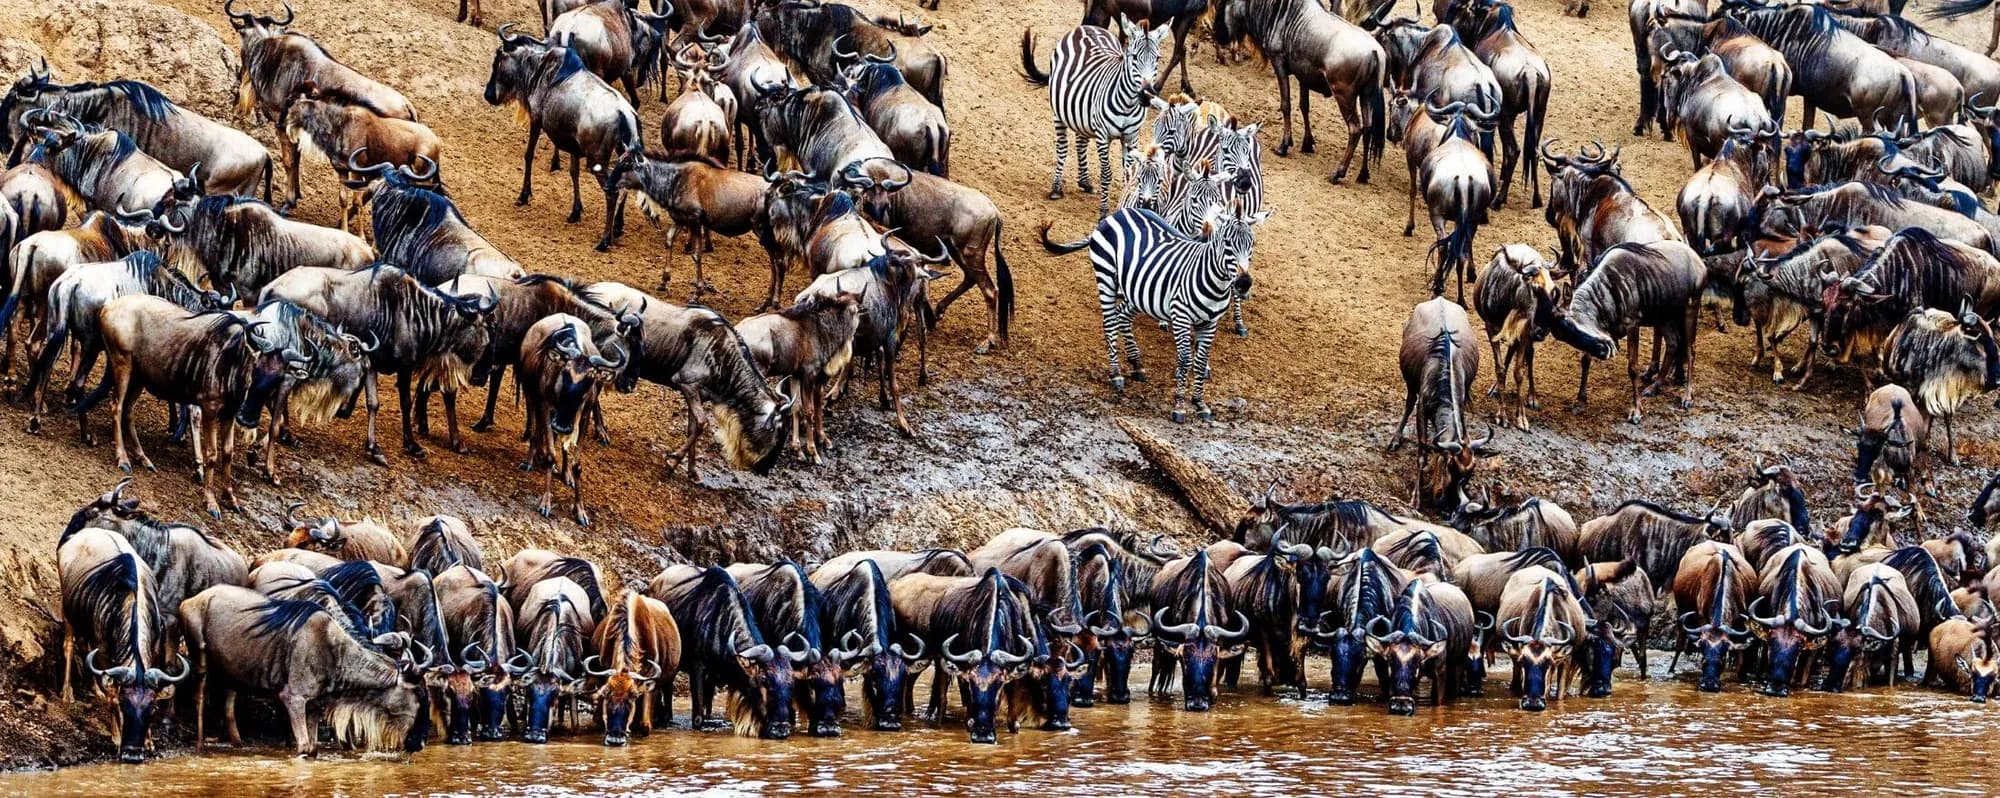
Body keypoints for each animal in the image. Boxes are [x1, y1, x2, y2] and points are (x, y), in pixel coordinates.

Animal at [1021, 18, 1170, 219]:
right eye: (1134, 57)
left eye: (1157, 59)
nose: (1146, 95)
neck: (1128, 104)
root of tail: (1087, 27)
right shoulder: (1102, 135)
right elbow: (1106, 174)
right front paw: (1104, 212)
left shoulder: (1131, 136)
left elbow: (1129, 174)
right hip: (1059, 113)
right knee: (1062, 148)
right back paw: (1056, 188)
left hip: (1081, 115)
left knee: (1080, 142)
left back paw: (1084, 182)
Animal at [1039, 206, 1273, 422]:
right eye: (1227, 243)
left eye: (1252, 244)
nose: (1244, 284)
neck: (1215, 284)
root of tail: (1118, 213)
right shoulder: (1181, 317)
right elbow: (1185, 360)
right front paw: (1179, 406)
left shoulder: (1210, 323)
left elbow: (1200, 361)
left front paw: (1200, 404)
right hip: (1106, 278)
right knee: (1109, 323)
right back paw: (1116, 375)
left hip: (1138, 290)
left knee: (1122, 316)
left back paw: (1136, 364)